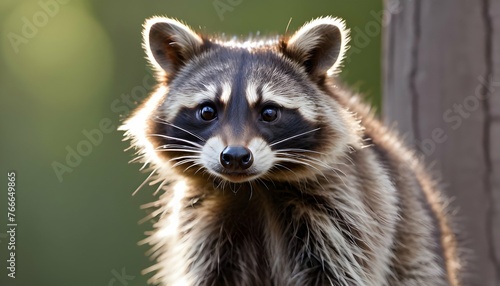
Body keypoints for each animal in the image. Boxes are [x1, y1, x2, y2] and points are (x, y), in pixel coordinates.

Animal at [120, 16, 460, 286]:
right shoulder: (202, 223)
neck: (255, 188)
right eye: (207, 111)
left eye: (269, 112)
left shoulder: (350, 208)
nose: (235, 157)